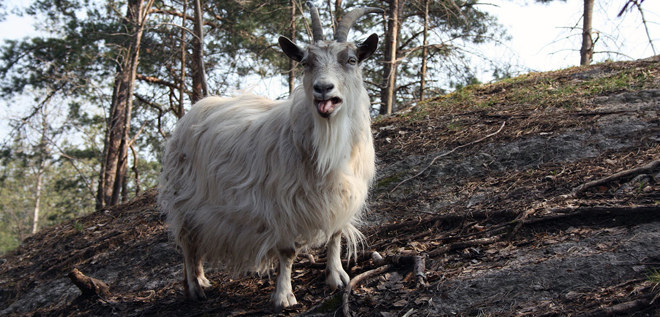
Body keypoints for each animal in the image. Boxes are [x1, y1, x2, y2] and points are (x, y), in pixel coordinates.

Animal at [157, 2, 378, 308]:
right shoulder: (280, 203)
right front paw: (284, 296)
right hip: (184, 201)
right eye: (305, 62)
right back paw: (194, 288)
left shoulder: (343, 196)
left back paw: (201, 279)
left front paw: (337, 277)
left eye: (352, 59)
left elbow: (335, 235)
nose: (323, 89)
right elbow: (287, 252)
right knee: (188, 244)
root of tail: (196, 109)